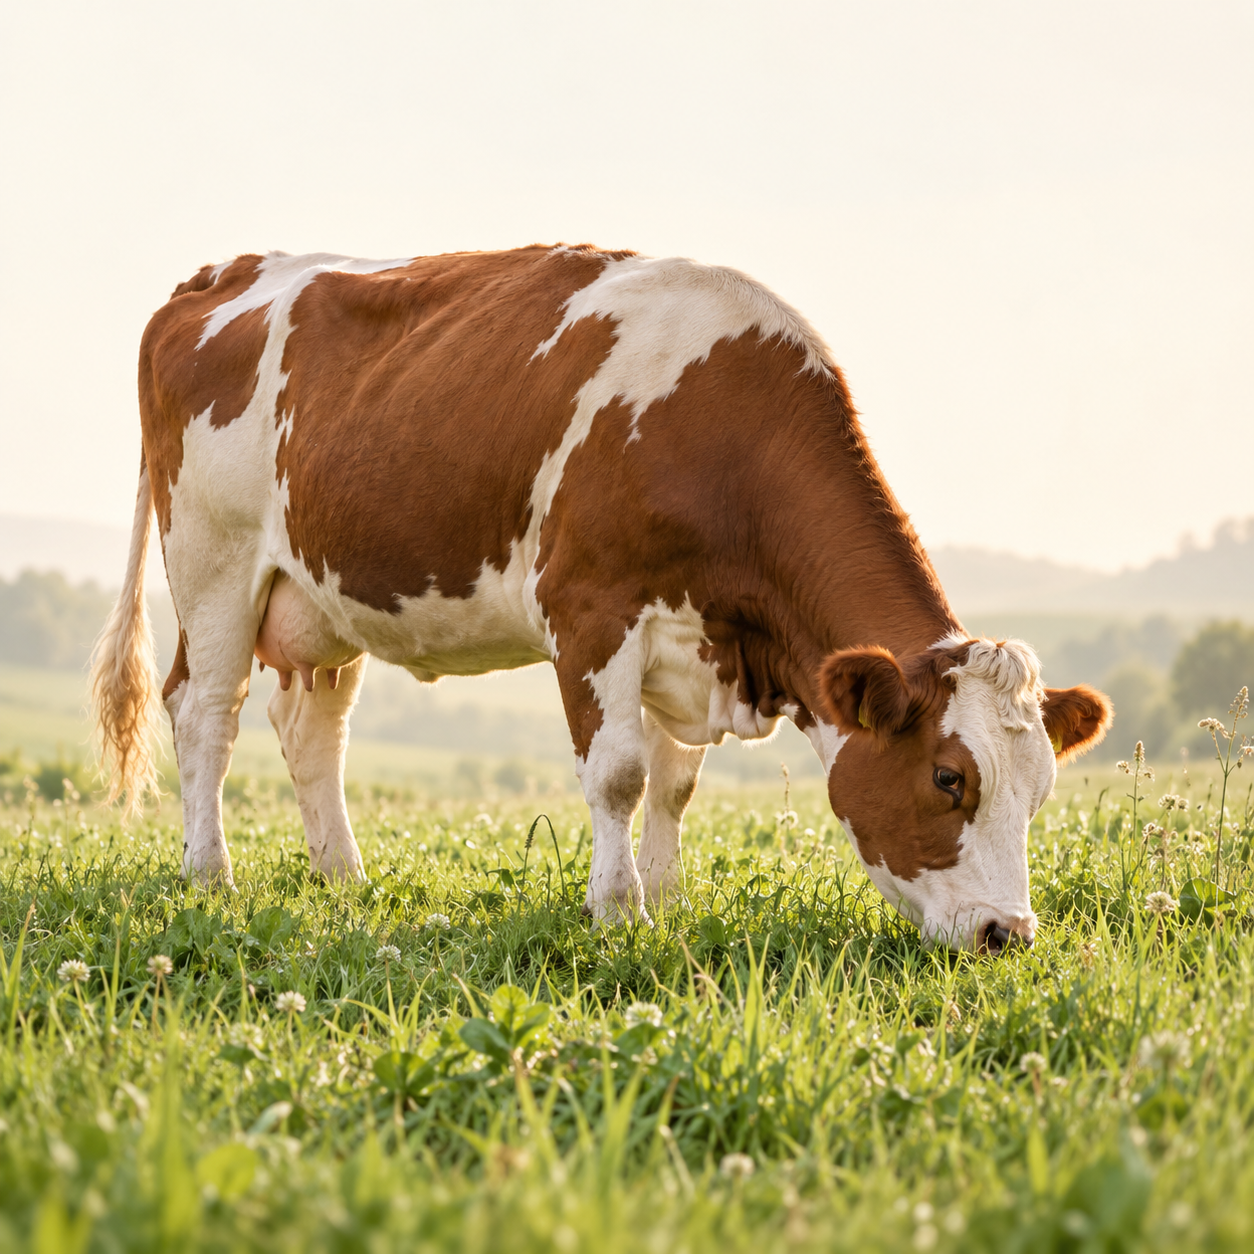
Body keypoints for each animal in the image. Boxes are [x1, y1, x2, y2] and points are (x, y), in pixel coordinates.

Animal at [92, 243, 1111, 953]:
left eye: (1042, 789)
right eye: (948, 777)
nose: (1007, 935)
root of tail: (223, 272)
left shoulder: (690, 641)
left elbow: (674, 782)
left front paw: (664, 894)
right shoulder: (591, 612)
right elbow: (618, 773)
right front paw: (620, 914)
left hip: (322, 594)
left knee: (311, 731)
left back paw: (344, 879)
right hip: (215, 563)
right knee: (205, 716)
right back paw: (209, 876)